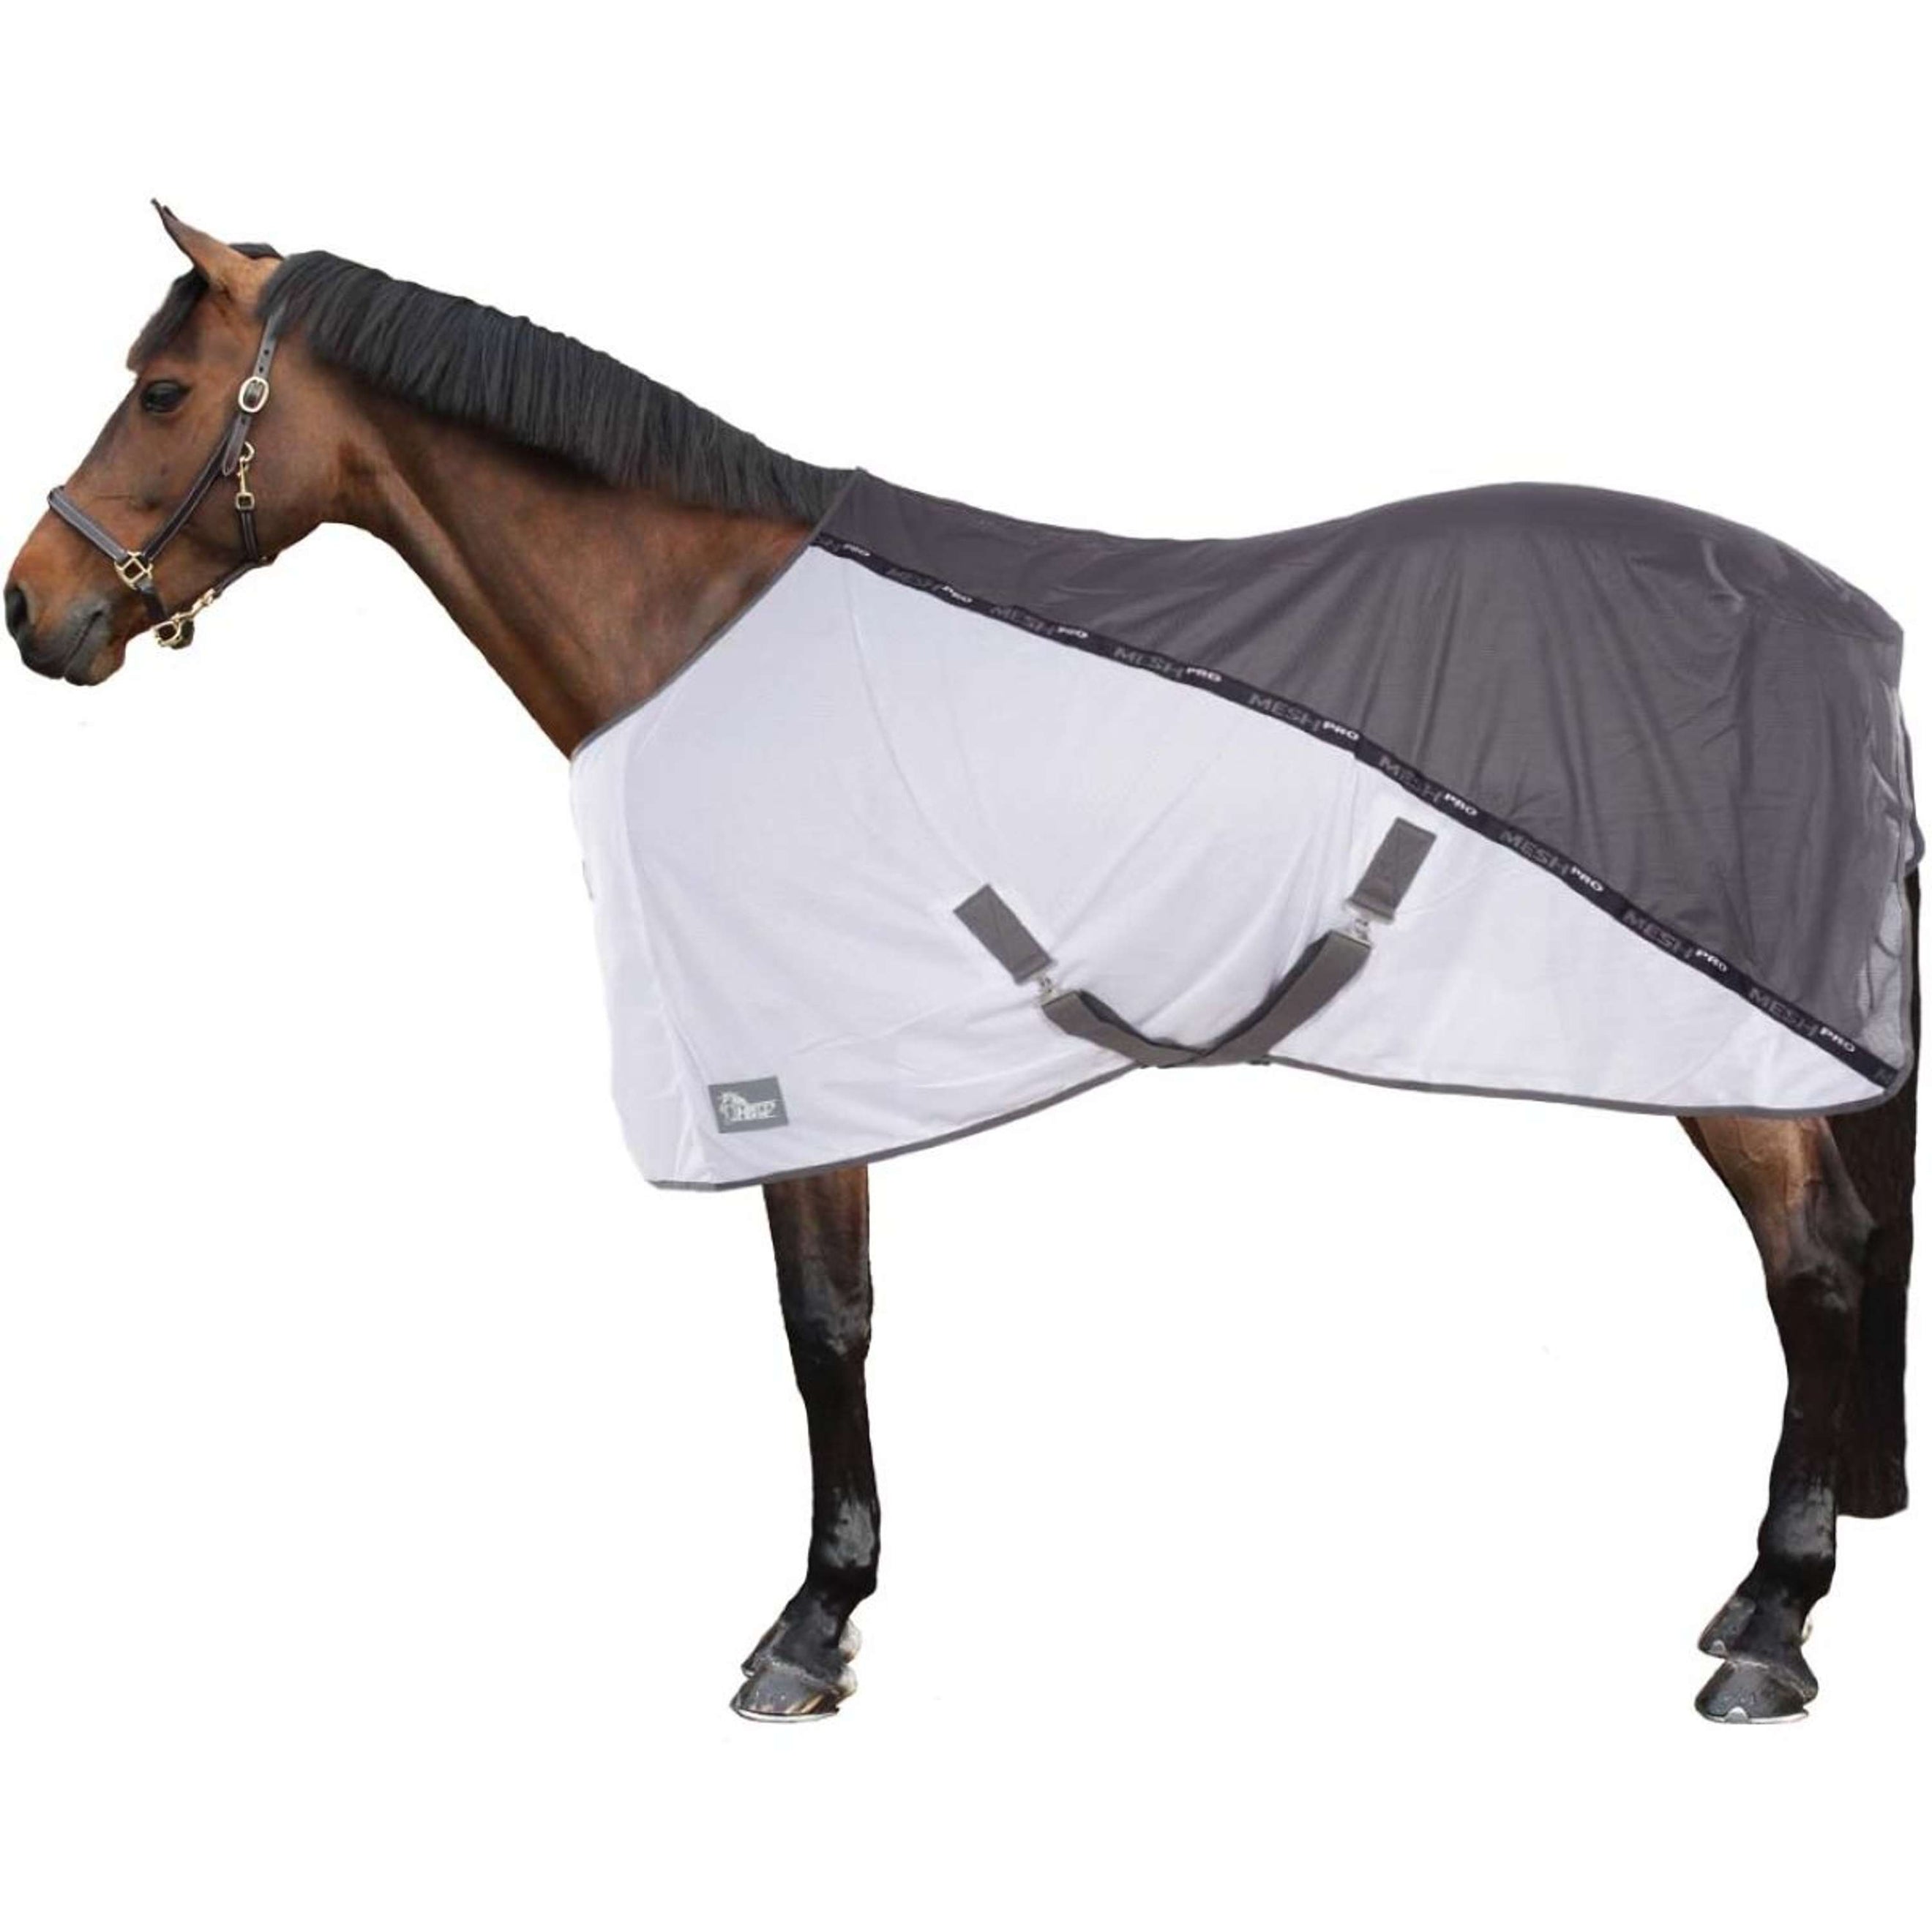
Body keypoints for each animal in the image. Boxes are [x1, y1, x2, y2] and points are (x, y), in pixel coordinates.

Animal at [6, 206, 1915, 1725]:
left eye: (162, 392)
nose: (34, 610)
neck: (700, 628)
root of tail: (1847, 618)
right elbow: (834, 1319)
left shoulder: (787, 1059)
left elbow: (823, 1326)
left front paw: (811, 1624)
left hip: (1731, 1053)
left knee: (1816, 1261)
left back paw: (1770, 1629)